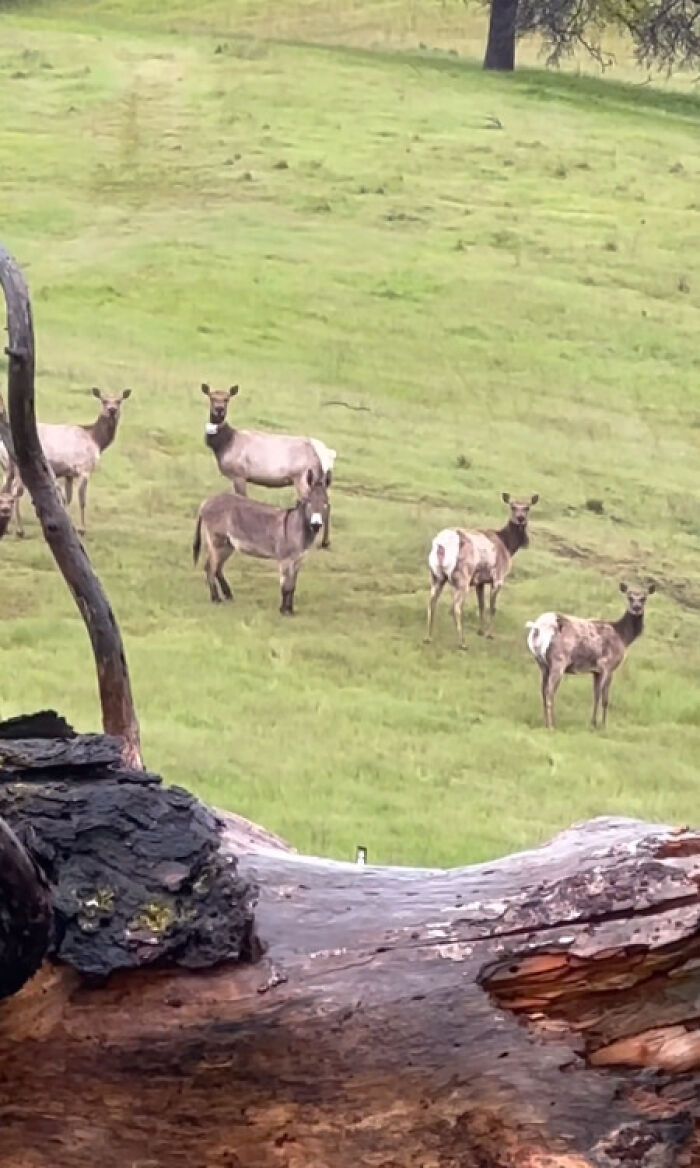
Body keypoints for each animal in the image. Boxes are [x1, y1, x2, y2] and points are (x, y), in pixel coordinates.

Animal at [0, 387, 131, 535]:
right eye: (104, 401)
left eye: (119, 401)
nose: (112, 410)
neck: (95, 440)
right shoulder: (84, 468)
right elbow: (82, 500)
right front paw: (81, 529)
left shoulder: (69, 473)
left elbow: (68, 499)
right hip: (19, 465)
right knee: (15, 492)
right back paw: (20, 530)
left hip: (7, 466)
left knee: (5, 489)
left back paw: (7, 528)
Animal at [193, 468, 330, 615]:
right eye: (309, 501)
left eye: (325, 503)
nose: (316, 524)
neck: (298, 527)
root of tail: (206, 502)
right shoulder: (285, 560)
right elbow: (286, 586)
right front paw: (283, 611)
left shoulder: (298, 560)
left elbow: (292, 586)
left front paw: (290, 610)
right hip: (218, 542)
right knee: (210, 568)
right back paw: (216, 599)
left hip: (227, 545)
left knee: (217, 568)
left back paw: (228, 595)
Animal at [201, 383, 336, 550]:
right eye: (212, 397)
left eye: (227, 399)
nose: (219, 409)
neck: (224, 444)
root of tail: (328, 455)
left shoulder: (239, 474)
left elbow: (243, 498)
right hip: (319, 479)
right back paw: (325, 541)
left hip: (303, 477)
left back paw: (322, 541)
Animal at [426, 492, 539, 649]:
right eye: (512, 506)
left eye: (527, 507)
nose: (520, 518)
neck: (508, 546)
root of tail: (441, 544)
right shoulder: (498, 578)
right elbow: (492, 607)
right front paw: (489, 634)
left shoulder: (480, 581)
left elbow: (481, 605)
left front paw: (480, 631)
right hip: (462, 578)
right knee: (456, 607)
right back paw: (462, 643)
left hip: (436, 575)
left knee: (431, 602)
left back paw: (428, 637)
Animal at [526, 581, 656, 730]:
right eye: (629, 597)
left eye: (644, 598)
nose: (636, 608)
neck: (623, 637)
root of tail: (538, 626)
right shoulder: (608, 665)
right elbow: (605, 699)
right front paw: (603, 725)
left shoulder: (596, 671)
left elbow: (596, 696)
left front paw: (593, 723)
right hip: (558, 660)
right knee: (549, 692)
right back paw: (552, 726)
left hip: (542, 663)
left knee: (542, 691)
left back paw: (545, 722)